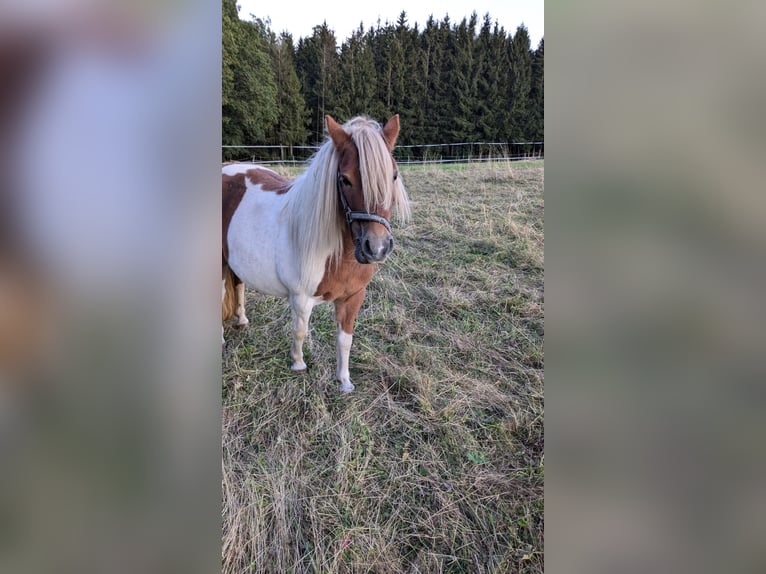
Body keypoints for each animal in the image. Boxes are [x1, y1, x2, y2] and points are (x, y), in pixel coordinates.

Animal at [222, 115, 412, 394]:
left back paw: (242, 320)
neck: (337, 254)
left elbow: (345, 340)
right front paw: (298, 364)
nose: (376, 248)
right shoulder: (301, 298)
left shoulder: (353, 297)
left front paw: (344, 381)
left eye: (394, 175)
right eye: (345, 179)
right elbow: (300, 331)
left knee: (238, 285)